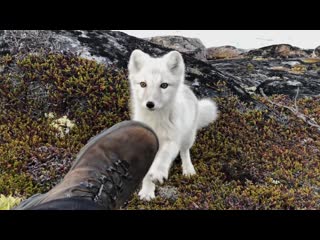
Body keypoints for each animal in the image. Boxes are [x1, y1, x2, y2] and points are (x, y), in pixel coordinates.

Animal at [127, 48, 218, 201]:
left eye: (164, 85)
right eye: (143, 84)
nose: (150, 104)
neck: (156, 122)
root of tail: (186, 88)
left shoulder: (171, 140)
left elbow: (163, 157)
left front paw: (157, 174)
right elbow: (147, 172)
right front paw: (147, 191)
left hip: (188, 137)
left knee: (185, 152)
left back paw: (188, 169)